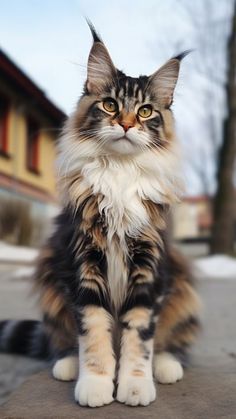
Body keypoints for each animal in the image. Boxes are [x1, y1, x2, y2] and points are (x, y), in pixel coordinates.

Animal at [0, 22, 200, 406]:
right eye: (109, 105)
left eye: (146, 111)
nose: (125, 124)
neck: (120, 172)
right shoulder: (84, 261)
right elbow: (93, 331)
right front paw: (95, 383)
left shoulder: (149, 266)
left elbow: (140, 335)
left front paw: (135, 386)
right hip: (50, 272)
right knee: (60, 339)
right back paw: (66, 364)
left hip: (181, 283)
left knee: (172, 340)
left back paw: (167, 365)